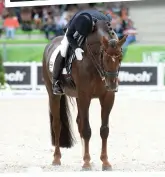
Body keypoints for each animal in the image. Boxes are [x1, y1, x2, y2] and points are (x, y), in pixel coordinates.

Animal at [42, 20, 126, 170]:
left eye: (120, 58)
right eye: (104, 57)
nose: (112, 85)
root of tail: (50, 43)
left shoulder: (107, 98)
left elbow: (104, 130)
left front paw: (105, 162)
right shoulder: (85, 97)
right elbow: (87, 130)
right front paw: (86, 163)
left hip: (77, 96)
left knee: (78, 122)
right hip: (54, 95)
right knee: (57, 125)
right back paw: (57, 159)